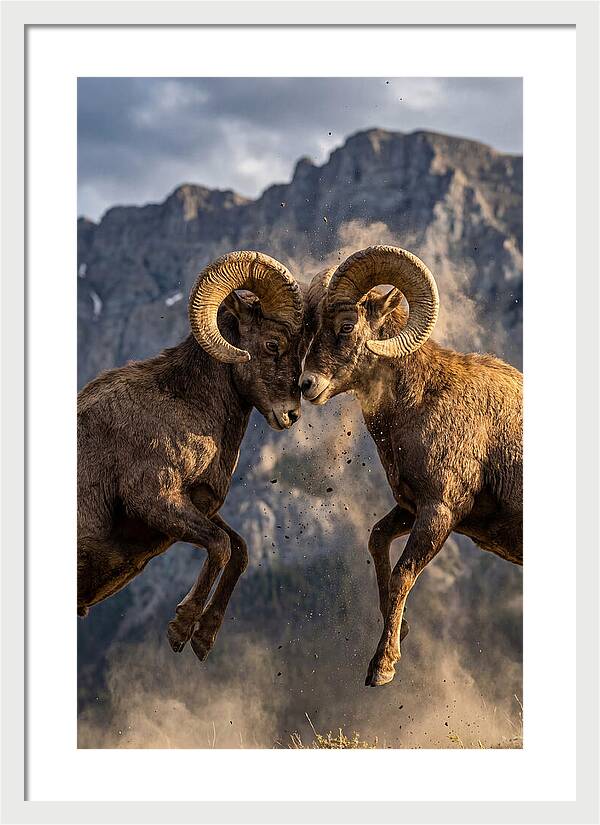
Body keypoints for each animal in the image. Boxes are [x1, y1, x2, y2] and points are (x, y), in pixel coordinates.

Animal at [78, 251, 305, 661]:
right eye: (272, 344)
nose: (291, 414)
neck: (186, 404)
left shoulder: (197, 506)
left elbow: (239, 549)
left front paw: (203, 639)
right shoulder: (154, 499)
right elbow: (220, 546)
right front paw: (181, 629)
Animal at [300, 245, 522, 687]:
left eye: (347, 325)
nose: (306, 385)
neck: (421, 402)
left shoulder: (439, 512)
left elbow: (404, 574)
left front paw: (382, 667)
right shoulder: (409, 508)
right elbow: (377, 541)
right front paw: (399, 630)